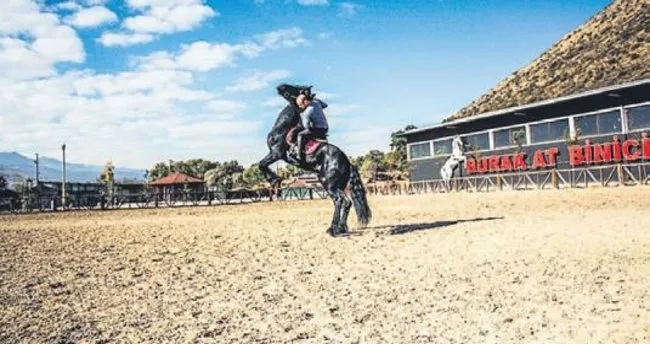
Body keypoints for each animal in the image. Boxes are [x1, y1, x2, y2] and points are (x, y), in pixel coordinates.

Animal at [256, 83, 370, 236]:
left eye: (296, 88)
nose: (281, 86)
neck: (283, 127)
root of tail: (347, 162)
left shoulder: (276, 153)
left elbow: (261, 164)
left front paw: (275, 181)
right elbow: (262, 164)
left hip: (329, 183)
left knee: (341, 201)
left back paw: (333, 229)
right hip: (334, 184)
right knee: (344, 203)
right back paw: (340, 228)